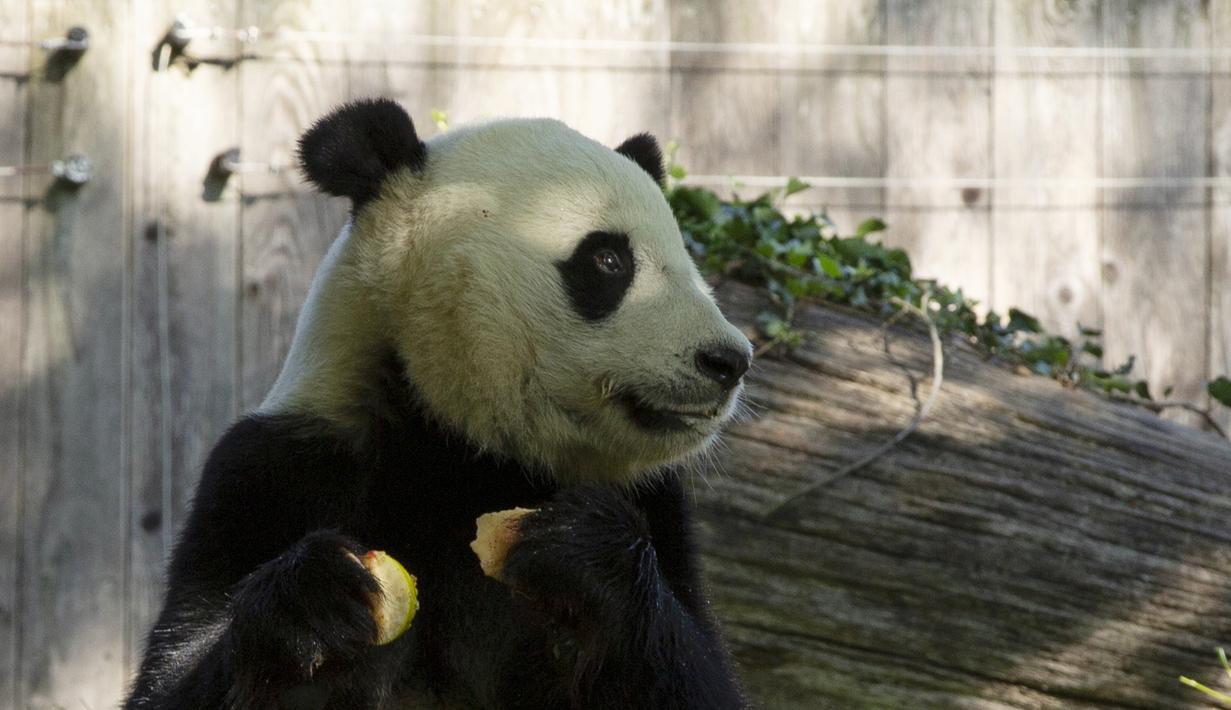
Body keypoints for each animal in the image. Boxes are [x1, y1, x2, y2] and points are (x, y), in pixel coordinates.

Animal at [124, 98, 753, 710]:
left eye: (685, 256)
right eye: (608, 260)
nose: (729, 360)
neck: (461, 450)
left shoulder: (657, 504)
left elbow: (702, 679)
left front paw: (585, 550)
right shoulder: (276, 469)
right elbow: (174, 675)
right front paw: (313, 599)